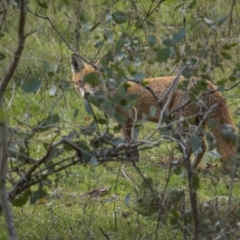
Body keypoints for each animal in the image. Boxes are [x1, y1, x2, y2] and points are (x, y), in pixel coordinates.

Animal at [70, 53, 236, 168]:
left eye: (95, 82)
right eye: (80, 82)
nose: (86, 94)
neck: (112, 92)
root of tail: (208, 83)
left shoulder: (127, 121)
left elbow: (128, 145)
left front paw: (129, 164)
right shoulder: (132, 122)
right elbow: (133, 146)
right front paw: (135, 163)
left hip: (181, 123)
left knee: (196, 147)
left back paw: (183, 167)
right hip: (195, 123)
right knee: (202, 147)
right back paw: (192, 167)